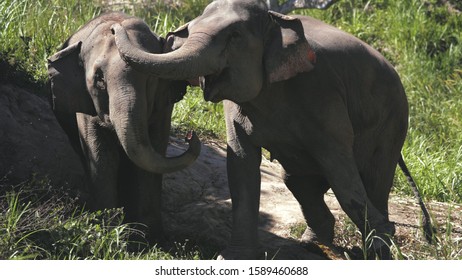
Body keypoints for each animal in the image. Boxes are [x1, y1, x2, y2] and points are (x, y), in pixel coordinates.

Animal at [47, 12, 201, 242]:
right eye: (99, 78)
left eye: (150, 77)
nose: (191, 136)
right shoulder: (84, 103)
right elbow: (102, 155)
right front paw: (108, 231)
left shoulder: (163, 107)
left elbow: (152, 153)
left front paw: (148, 238)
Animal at [111, 0, 430, 258]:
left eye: (234, 36)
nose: (114, 27)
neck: (275, 21)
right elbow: (241, 164)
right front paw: (234, 258)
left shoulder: (323, 93)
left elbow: (341, 171)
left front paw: (378, 247)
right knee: (298, 181)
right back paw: (313, 244)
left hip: (392, 120)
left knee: (373, 178)